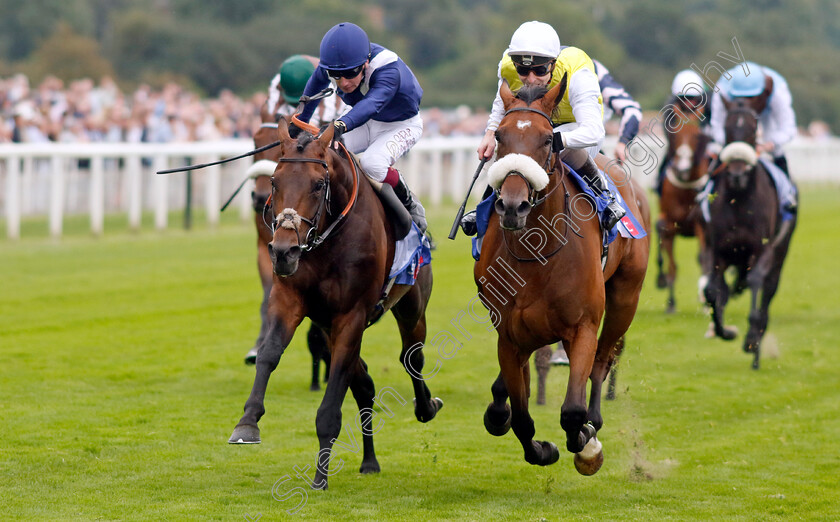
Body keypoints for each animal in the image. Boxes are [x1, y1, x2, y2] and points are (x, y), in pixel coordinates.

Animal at [480, 79, 648, 474]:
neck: (535, 254)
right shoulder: (509, 335)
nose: (513, 205)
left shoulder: (583, 324)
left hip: (625, 297)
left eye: (546, 139)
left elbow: (573, 410)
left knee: (602, 359)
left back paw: (595, 419)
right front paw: (541, 448)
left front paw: (587, 443)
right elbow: (521, 417)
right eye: (499, 136)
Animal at [700, 96, 796, 366]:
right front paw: (725, 331)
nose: (737, 174)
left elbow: (756, 281)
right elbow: (712, 291)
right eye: (727, 128)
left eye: (754, 129)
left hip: (780, 252)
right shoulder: (717, 248)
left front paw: (751, 339)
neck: (740, 199)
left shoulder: (761, 249)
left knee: (768, 289)